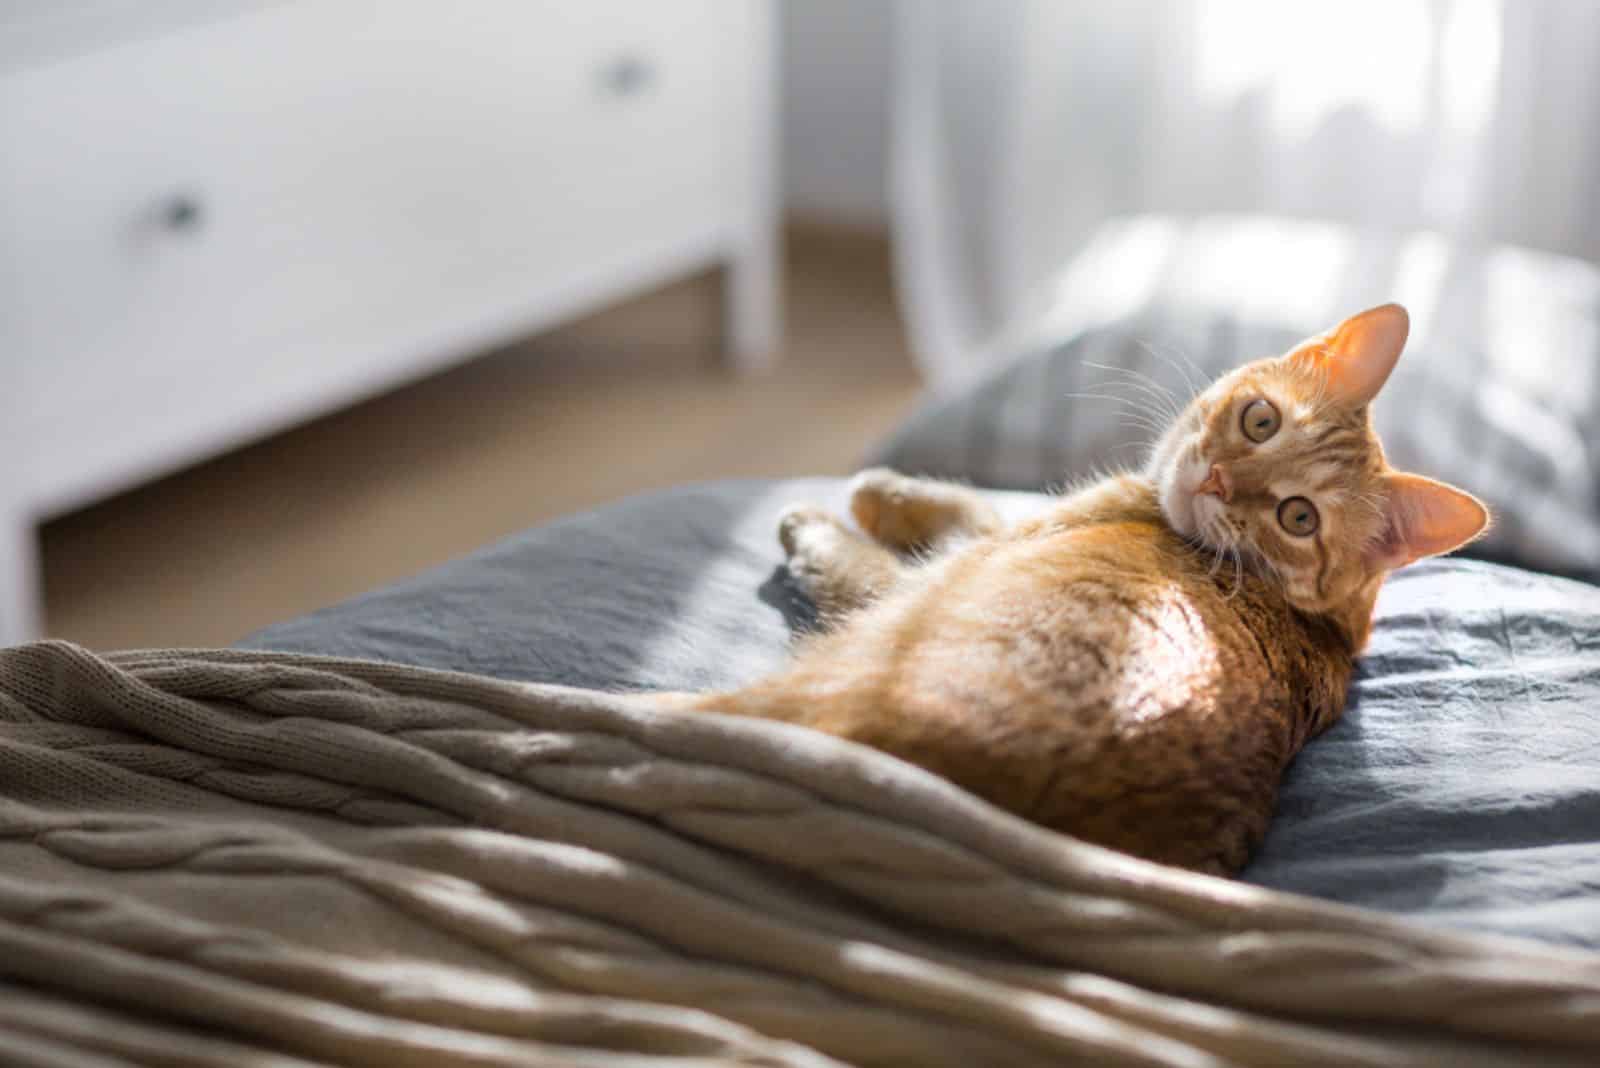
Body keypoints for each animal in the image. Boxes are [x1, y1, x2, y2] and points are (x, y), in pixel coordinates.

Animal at [668, 302, 1478, 876]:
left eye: (1298, 517)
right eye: (1260, 419)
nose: (1219, 479)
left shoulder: (935, 573)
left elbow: (889, 550)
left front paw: (845, 509)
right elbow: (972, 503)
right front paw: (891, 490)